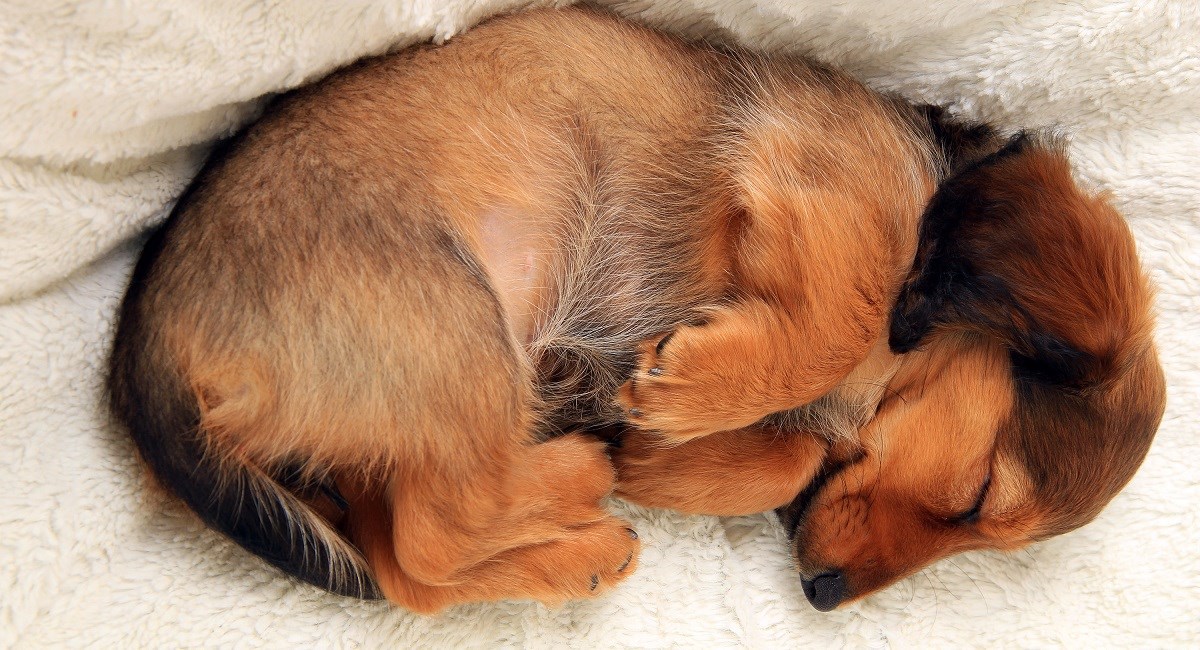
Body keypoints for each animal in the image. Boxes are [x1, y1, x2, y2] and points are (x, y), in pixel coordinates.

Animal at [105, 6, 1161, 618]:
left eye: (976, 528)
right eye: (976, 496)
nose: (821, 598)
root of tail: (142, 352)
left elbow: (789, 456)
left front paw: (668, 447)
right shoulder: (819, 187)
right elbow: (838, 322)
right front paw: (690, 394)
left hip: (397, 413)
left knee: (407, 566)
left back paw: (573, 535)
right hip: (453, 323)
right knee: (437, 528)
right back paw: (582, 479)